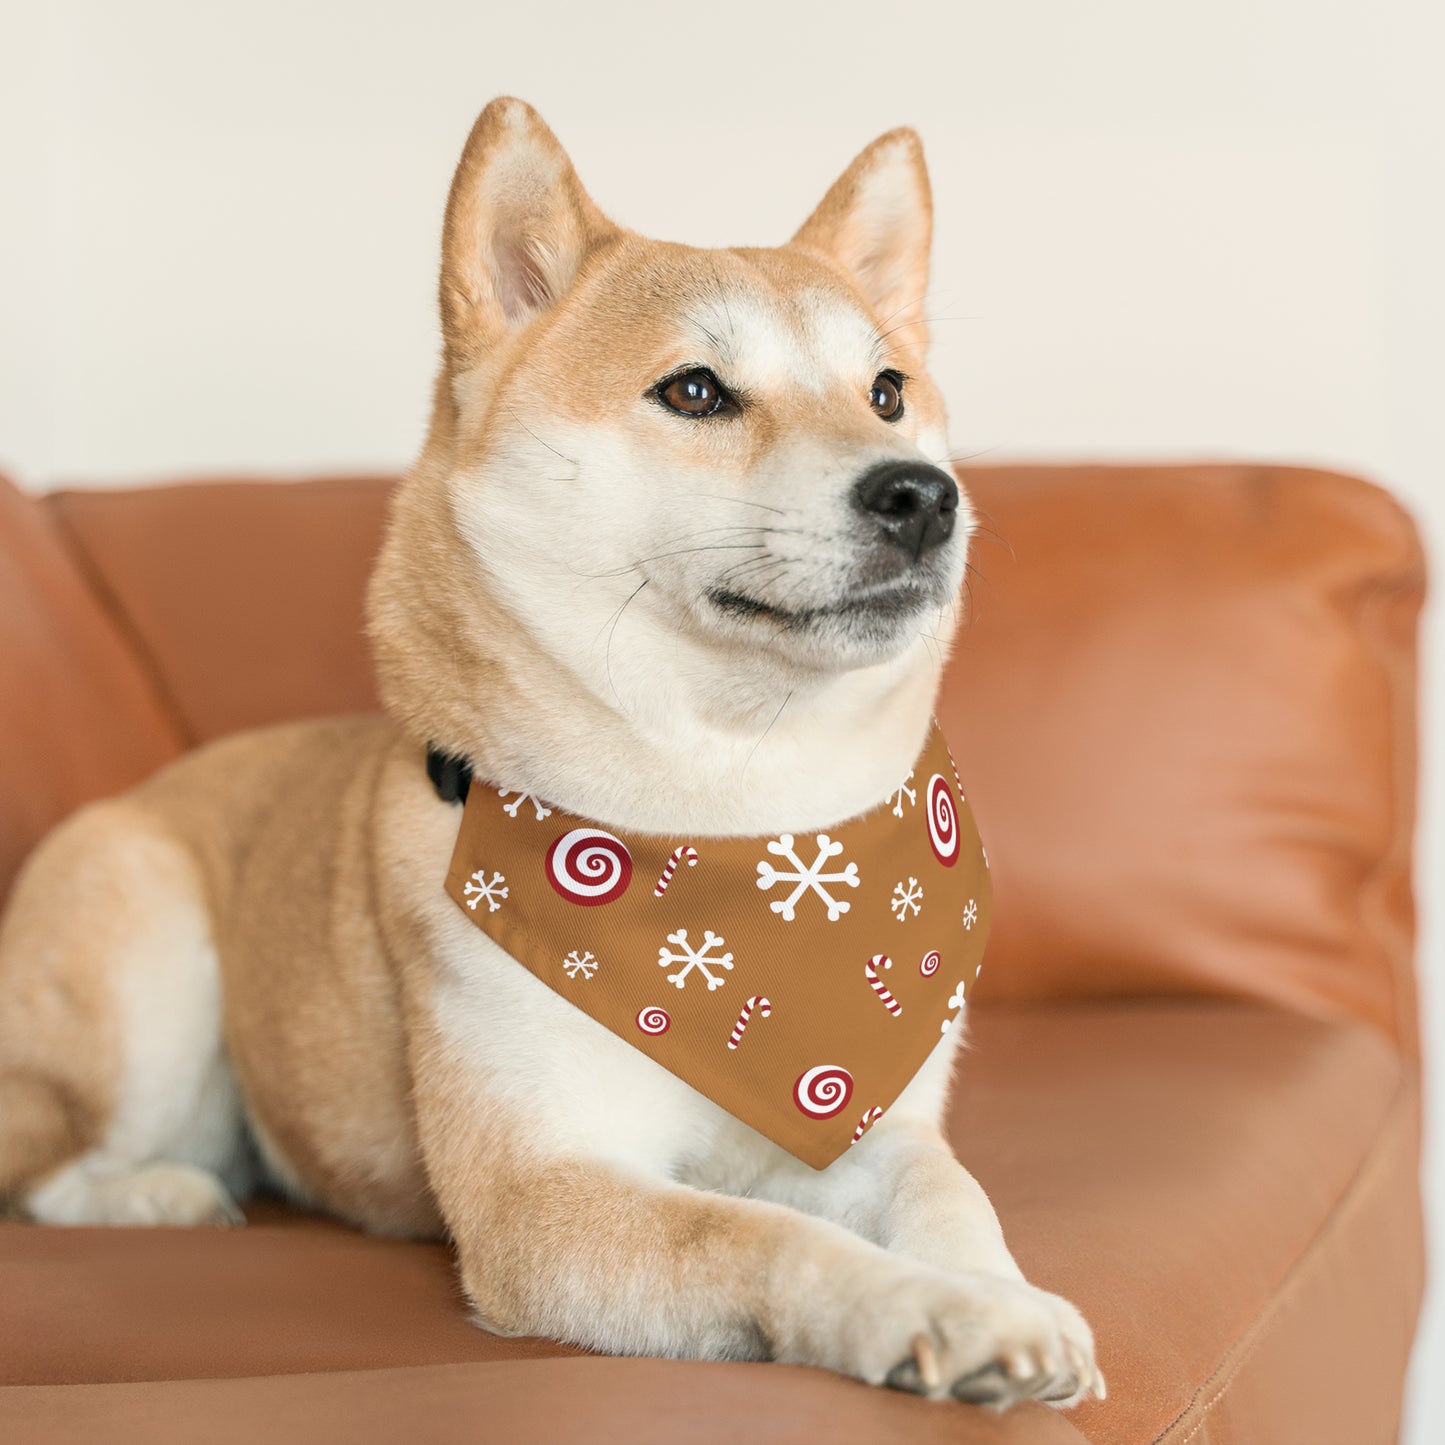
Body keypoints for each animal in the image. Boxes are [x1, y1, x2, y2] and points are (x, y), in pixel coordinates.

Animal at [0, 96, 1098, 1404]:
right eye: (694, 390)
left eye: (886, 389)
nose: (923, 494)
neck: (740, 830)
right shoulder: (539, 1193)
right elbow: (764, 1234)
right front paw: (928, 1308)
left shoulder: (873, 1118)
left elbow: (949, 1193)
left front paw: (1002, 1293)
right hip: (145, 963)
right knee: (48, 1165)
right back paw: (162, 1192)